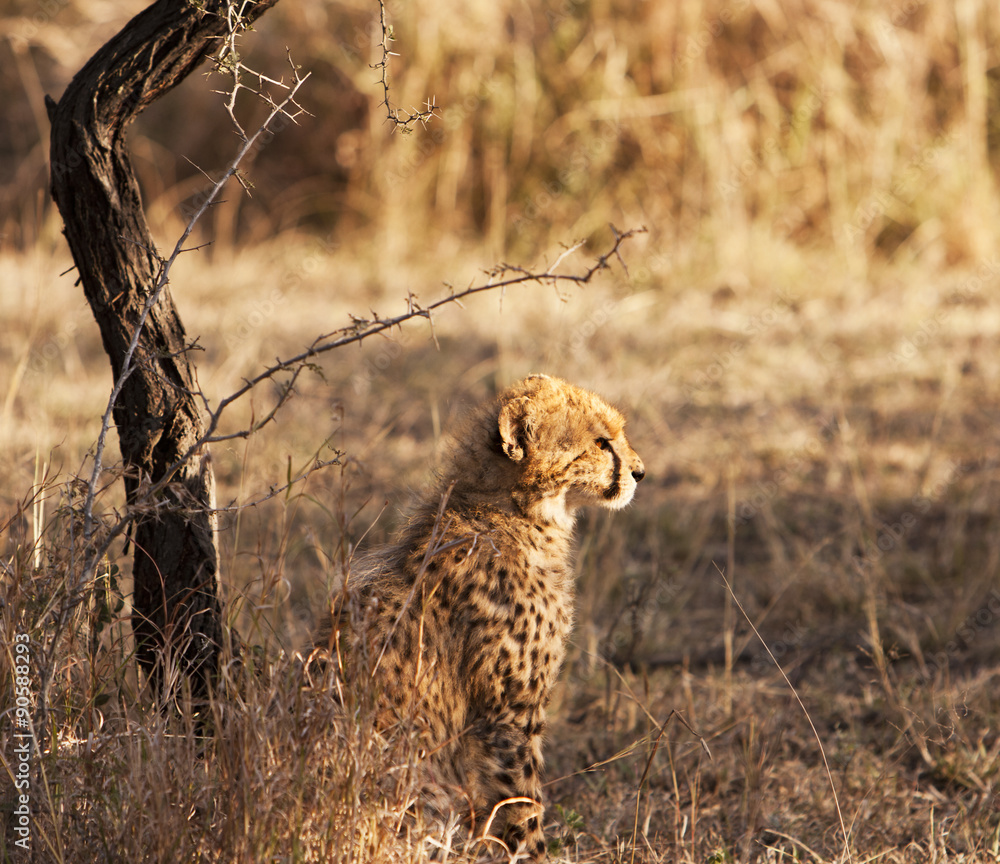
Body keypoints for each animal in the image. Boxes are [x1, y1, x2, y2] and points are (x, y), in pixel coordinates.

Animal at [319, 373, 644, 860]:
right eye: (601, 443)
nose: (641, 472)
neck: (513, 510)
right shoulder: (505, 719)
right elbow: (522, 806)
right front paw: (536, 854)